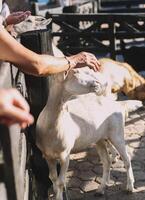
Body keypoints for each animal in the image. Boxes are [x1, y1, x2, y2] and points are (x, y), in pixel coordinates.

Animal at [35, 67, 139, 200]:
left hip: (117, 134)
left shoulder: (65, 155)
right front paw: (55, 192)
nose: (97, 83)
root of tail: (118, 104)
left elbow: (61, 181)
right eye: (75, 72)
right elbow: (52, 177)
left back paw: (130, 187)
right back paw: (100, 189)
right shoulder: (47, 155)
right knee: (106, 162)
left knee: (127, 159)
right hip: (100, 139)